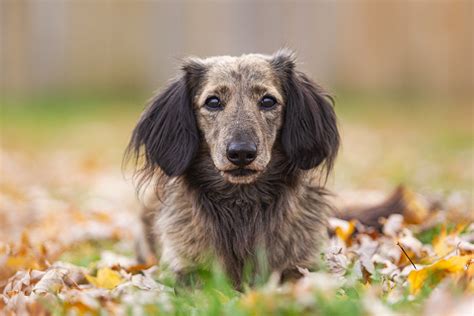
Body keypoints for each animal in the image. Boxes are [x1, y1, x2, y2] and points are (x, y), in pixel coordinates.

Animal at [126, 50, 340, 286]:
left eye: (268, 101)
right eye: (213, 101)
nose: (241, 153)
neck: (241, 205)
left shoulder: (303, 263)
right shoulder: (182, 268)